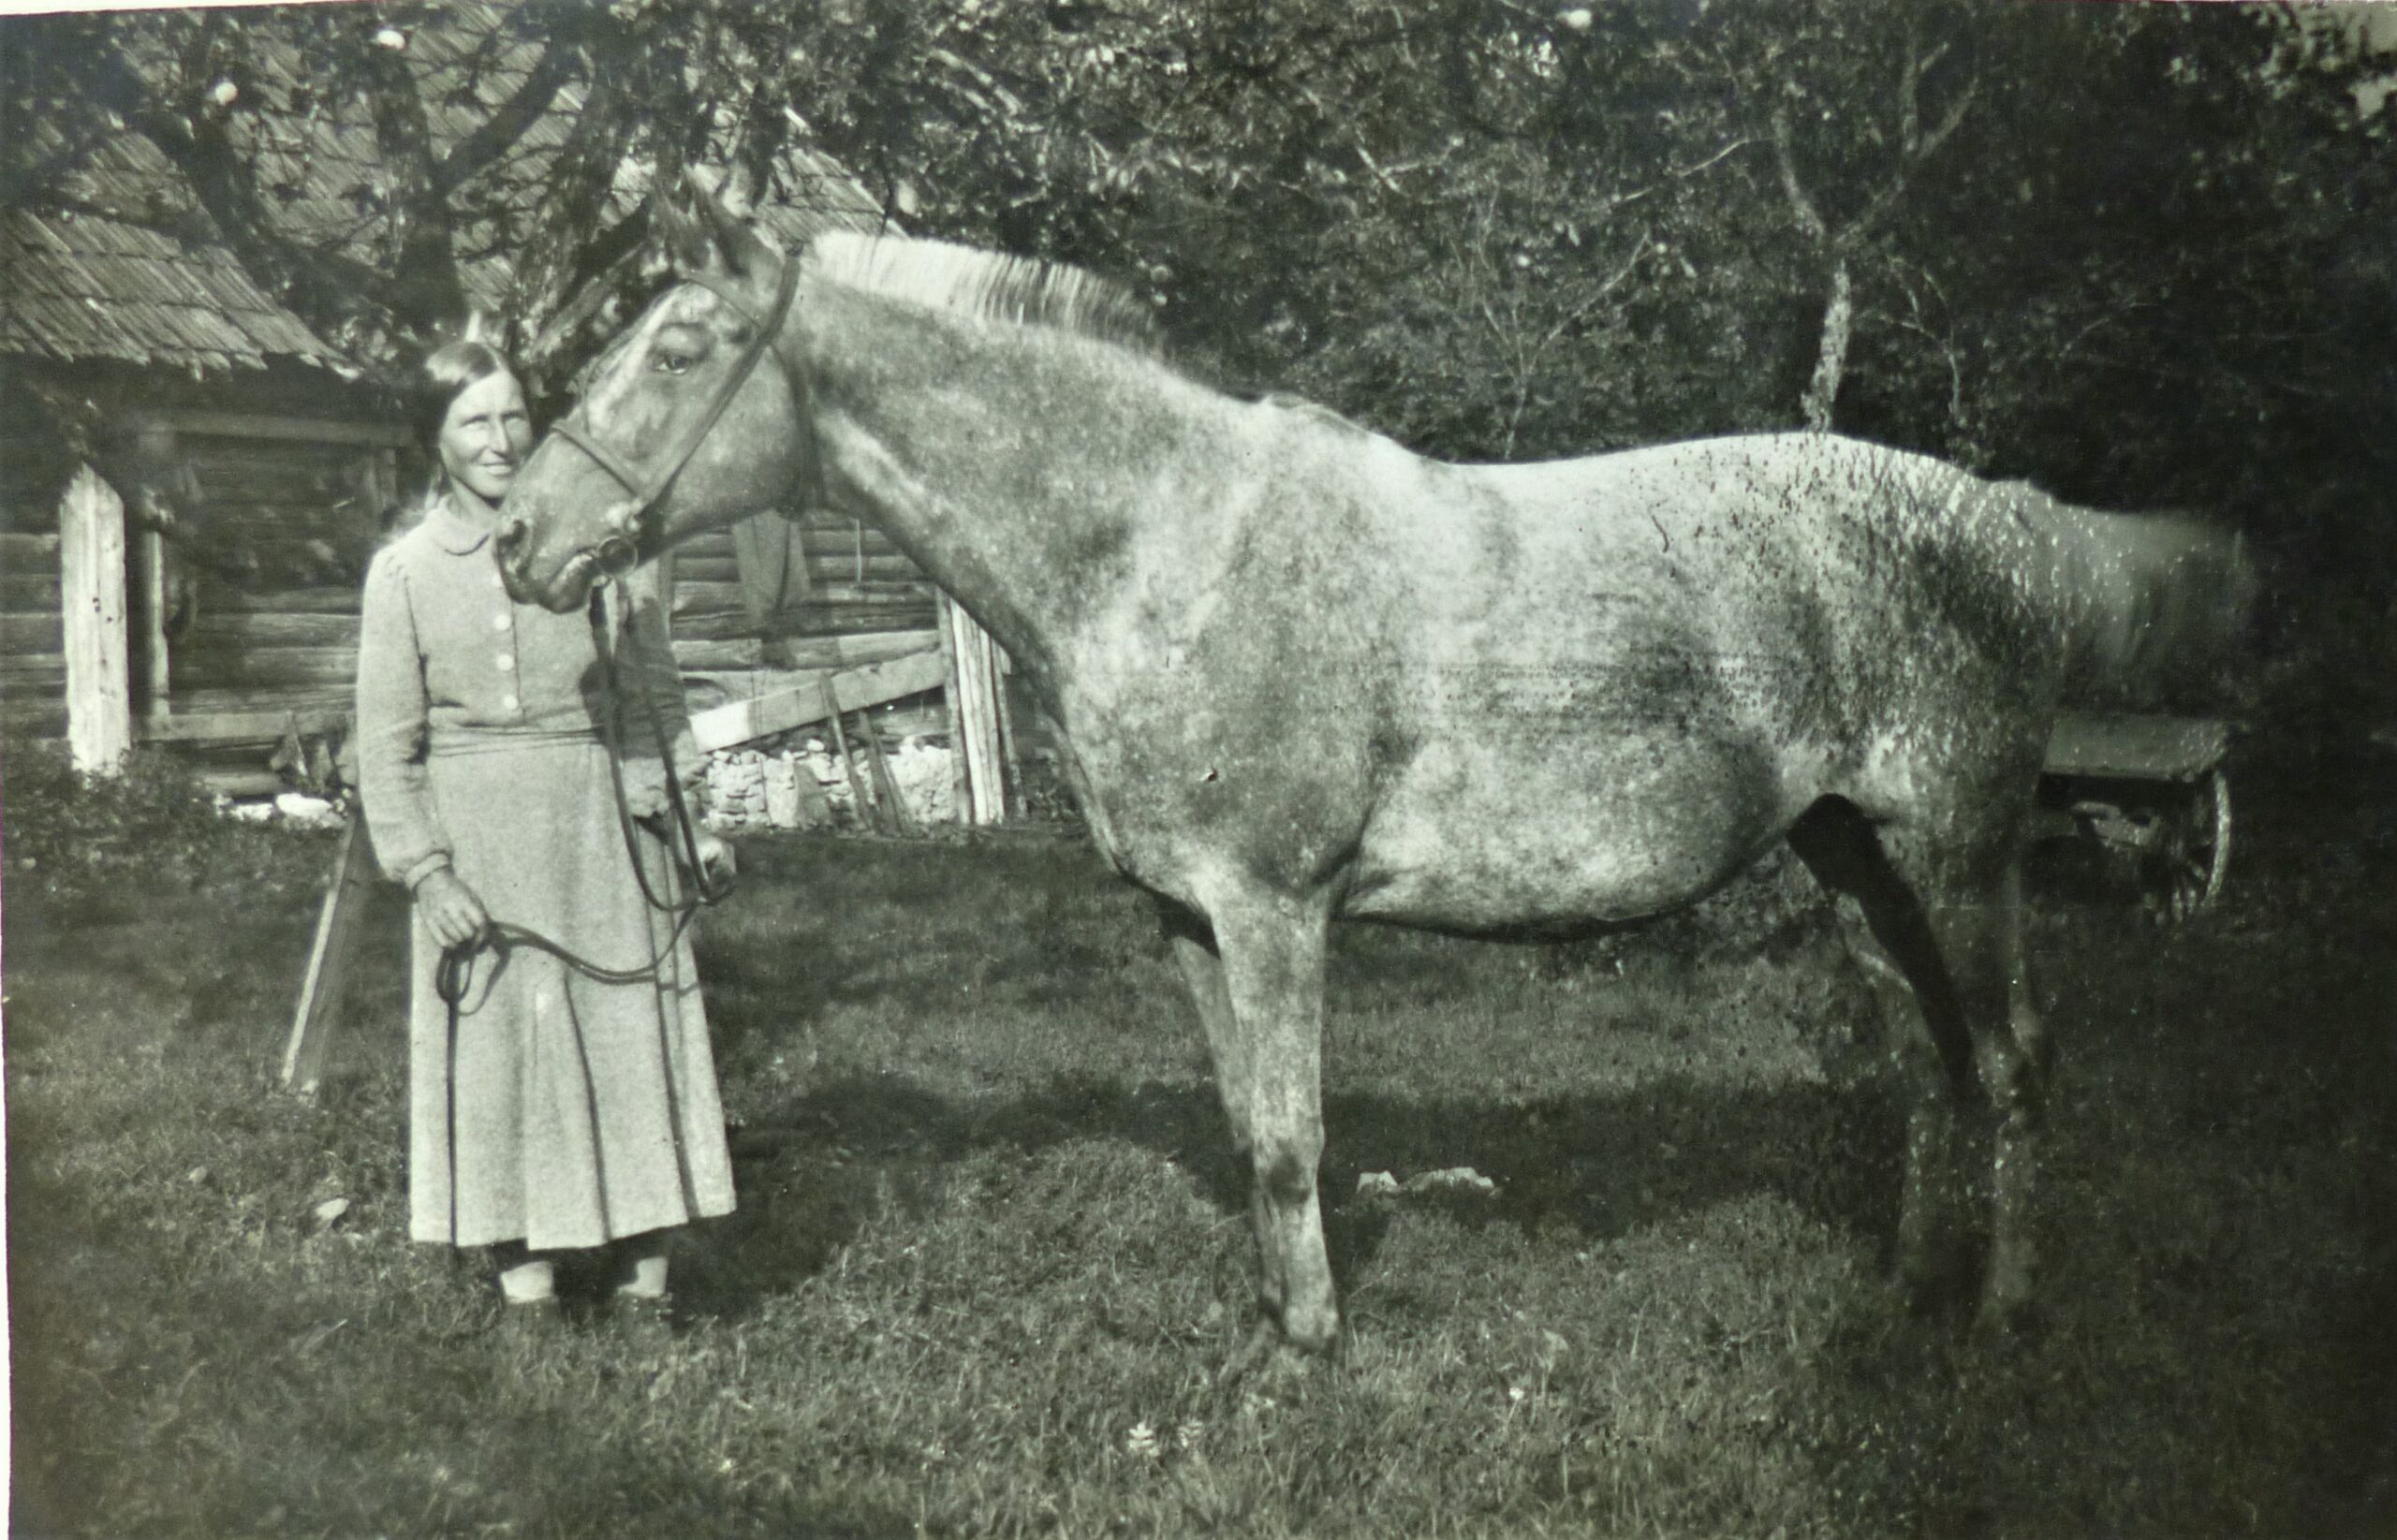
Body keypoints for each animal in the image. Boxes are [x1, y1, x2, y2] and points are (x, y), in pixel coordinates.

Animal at [495, 174, 2253, 1370]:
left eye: (680, 348)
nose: (517, 538)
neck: (1171, 544)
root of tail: (2009, 521)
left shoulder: (1279, 911)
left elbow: (1293, 1133)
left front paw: (1318, 1354)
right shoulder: (1187, 920)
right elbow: (1242, 1125)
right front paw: (1276, 1322)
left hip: (1958, 852)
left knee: (2012, 1062)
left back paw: (2006, 1317)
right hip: (1854, 858)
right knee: (1927, 1059)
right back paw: (1902, 1295)